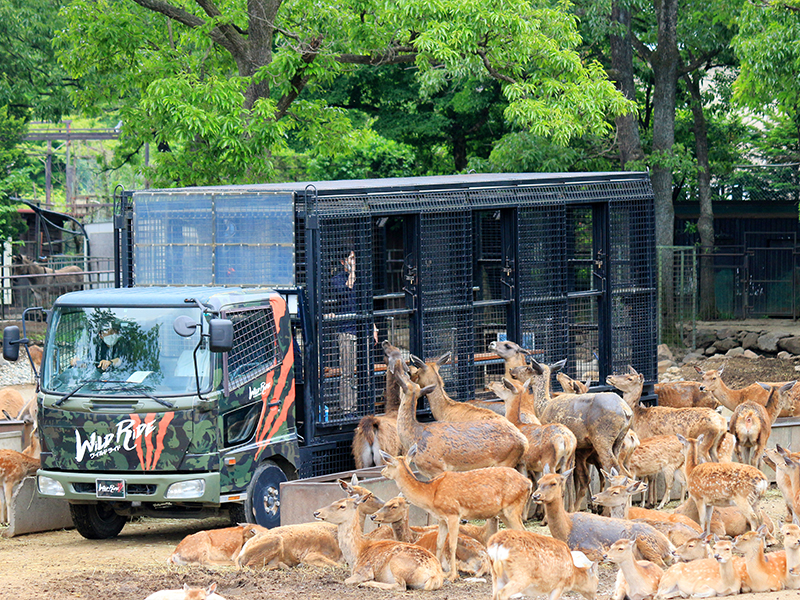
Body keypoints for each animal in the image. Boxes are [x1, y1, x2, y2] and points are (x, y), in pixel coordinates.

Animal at [380, 446, 532, 580]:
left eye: (388, 462)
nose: (381, 471)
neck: (430, 495)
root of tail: (529, 483)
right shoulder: (441, 519)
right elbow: (439, 543)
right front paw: (442, 572)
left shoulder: (453, 513)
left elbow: (452, 544)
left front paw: (453, 576)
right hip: (503, 513)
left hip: (513, 508)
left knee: (524, 532)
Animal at [392, 370, 528, 478]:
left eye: (402, 386)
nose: (407, 371)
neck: (414, 437)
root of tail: (524, 442)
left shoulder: (436, 468)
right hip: (519, 464)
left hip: (505, 461)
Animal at [532, 468, 676, 568]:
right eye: (539, 482)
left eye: (553, 483)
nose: (535, 495)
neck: (566, 530)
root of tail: (669, 546)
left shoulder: (595, 549)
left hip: (646, 543)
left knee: (660, 563)